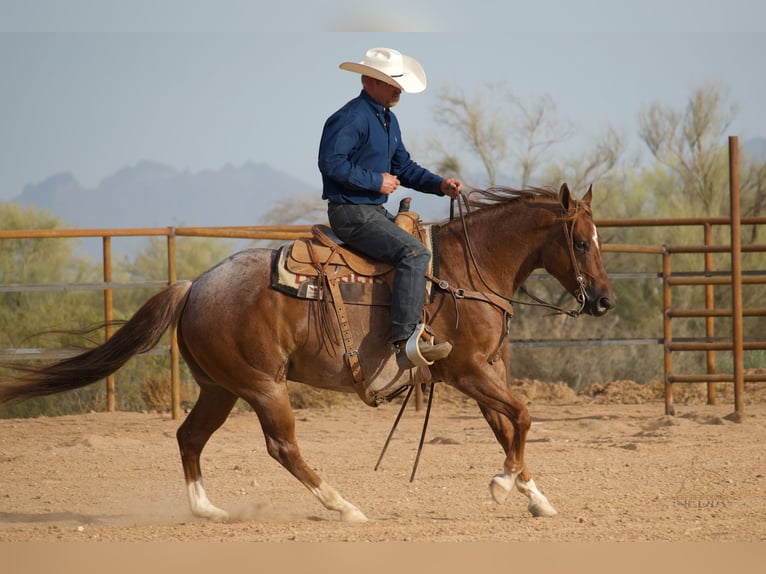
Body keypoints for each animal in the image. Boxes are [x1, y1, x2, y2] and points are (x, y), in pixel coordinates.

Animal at [0, 183, 614, 522]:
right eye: (580, 242)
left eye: (598, 240)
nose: (605, 300)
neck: (468, 271)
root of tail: (195, 286)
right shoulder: (465, 369)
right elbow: (522, 417)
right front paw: (504, 486)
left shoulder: (488, 369)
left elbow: (508, 425)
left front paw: (532, 496)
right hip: (263, 386)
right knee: (282, 448)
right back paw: (344, 507)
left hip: (221, 388)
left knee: (190, 437)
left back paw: (208, 510)